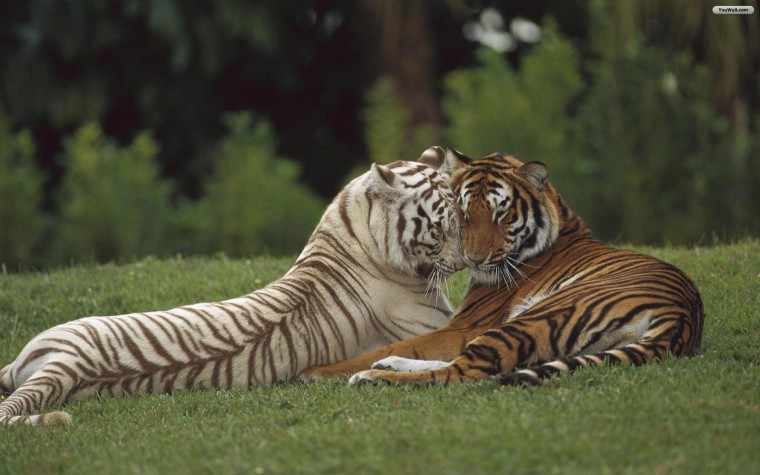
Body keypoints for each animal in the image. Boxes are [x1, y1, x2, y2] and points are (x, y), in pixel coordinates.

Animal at [0, 147, 463, 425]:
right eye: (441, 228)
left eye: (463, 218)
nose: (465, 261)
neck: (354, 225)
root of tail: (68, 363)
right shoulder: (437, 325)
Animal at [300, 149, 704, 386]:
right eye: (463, 212)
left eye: (502, 213)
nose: (473, 259)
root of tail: (682, 317)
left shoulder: (467, 326)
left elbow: (408, 343)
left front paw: (318, 371)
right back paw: (385, 367)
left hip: (535, 317)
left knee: (463, 371)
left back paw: (370, 376)